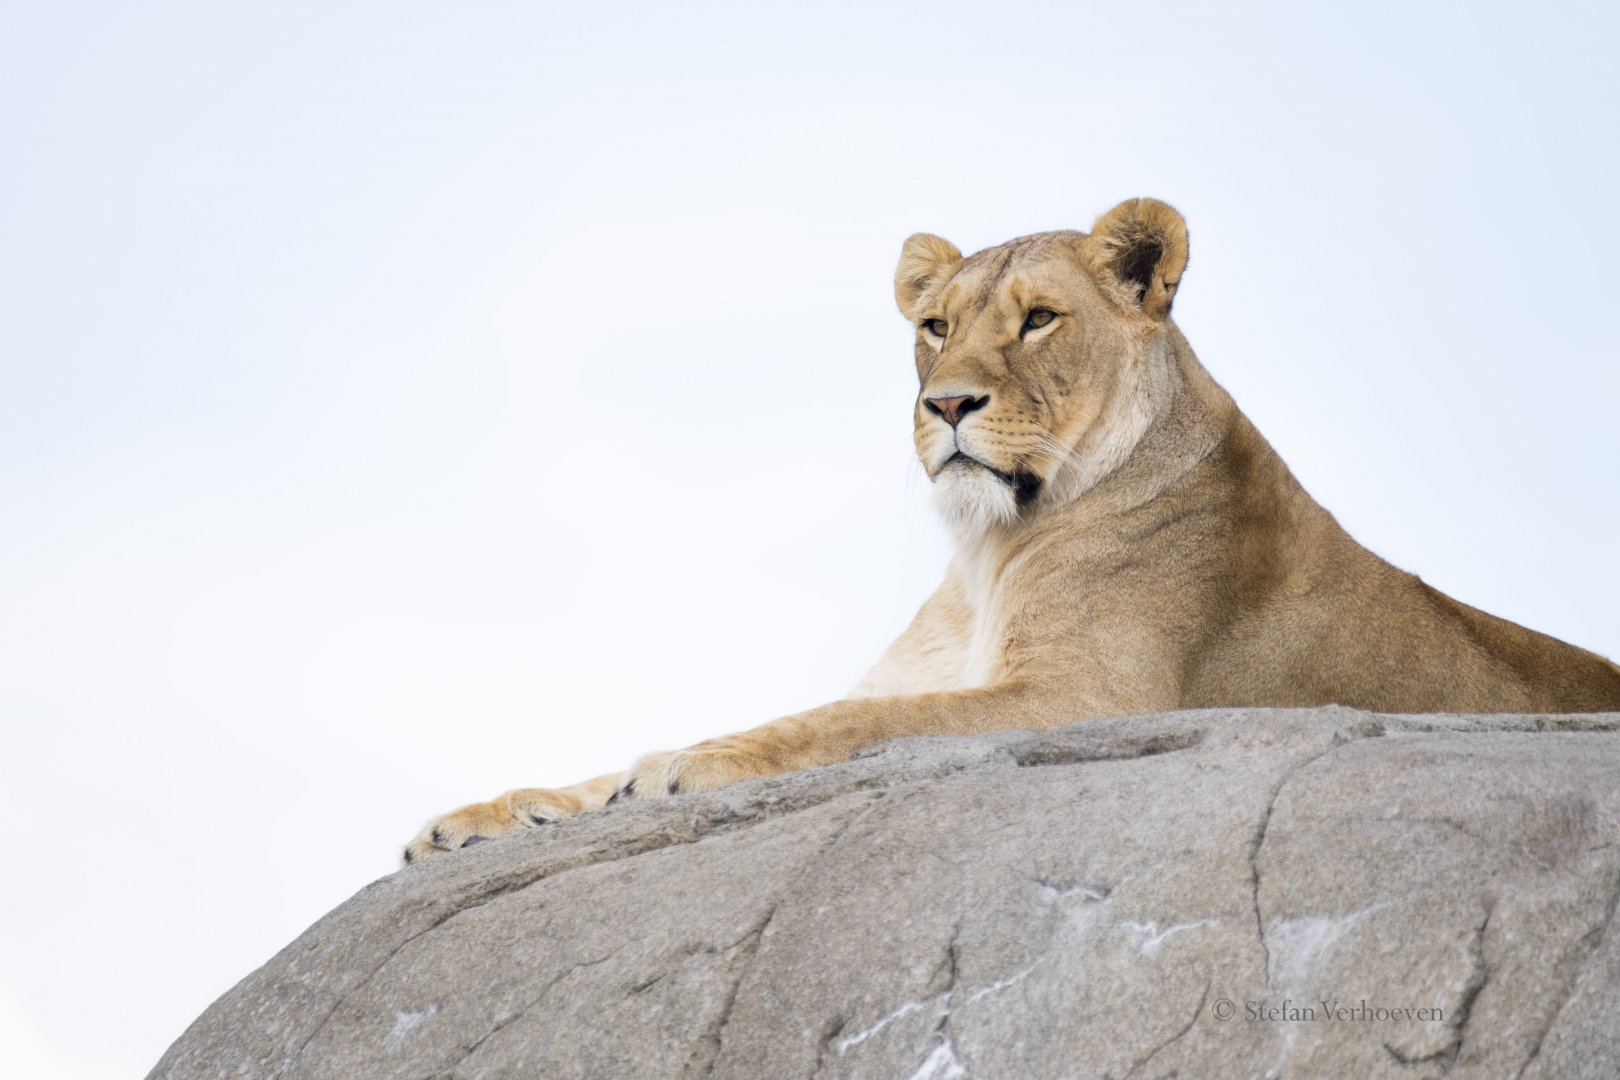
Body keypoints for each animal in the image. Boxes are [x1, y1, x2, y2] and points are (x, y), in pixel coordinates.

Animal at [404, 197, 1620, 862]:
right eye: (934, 327)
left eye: (1039, 318)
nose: (945, 404)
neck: (982, 551)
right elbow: (688, 745)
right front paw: (477, 817)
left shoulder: (1088, 698)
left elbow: (837, 726)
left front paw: (687, 764)